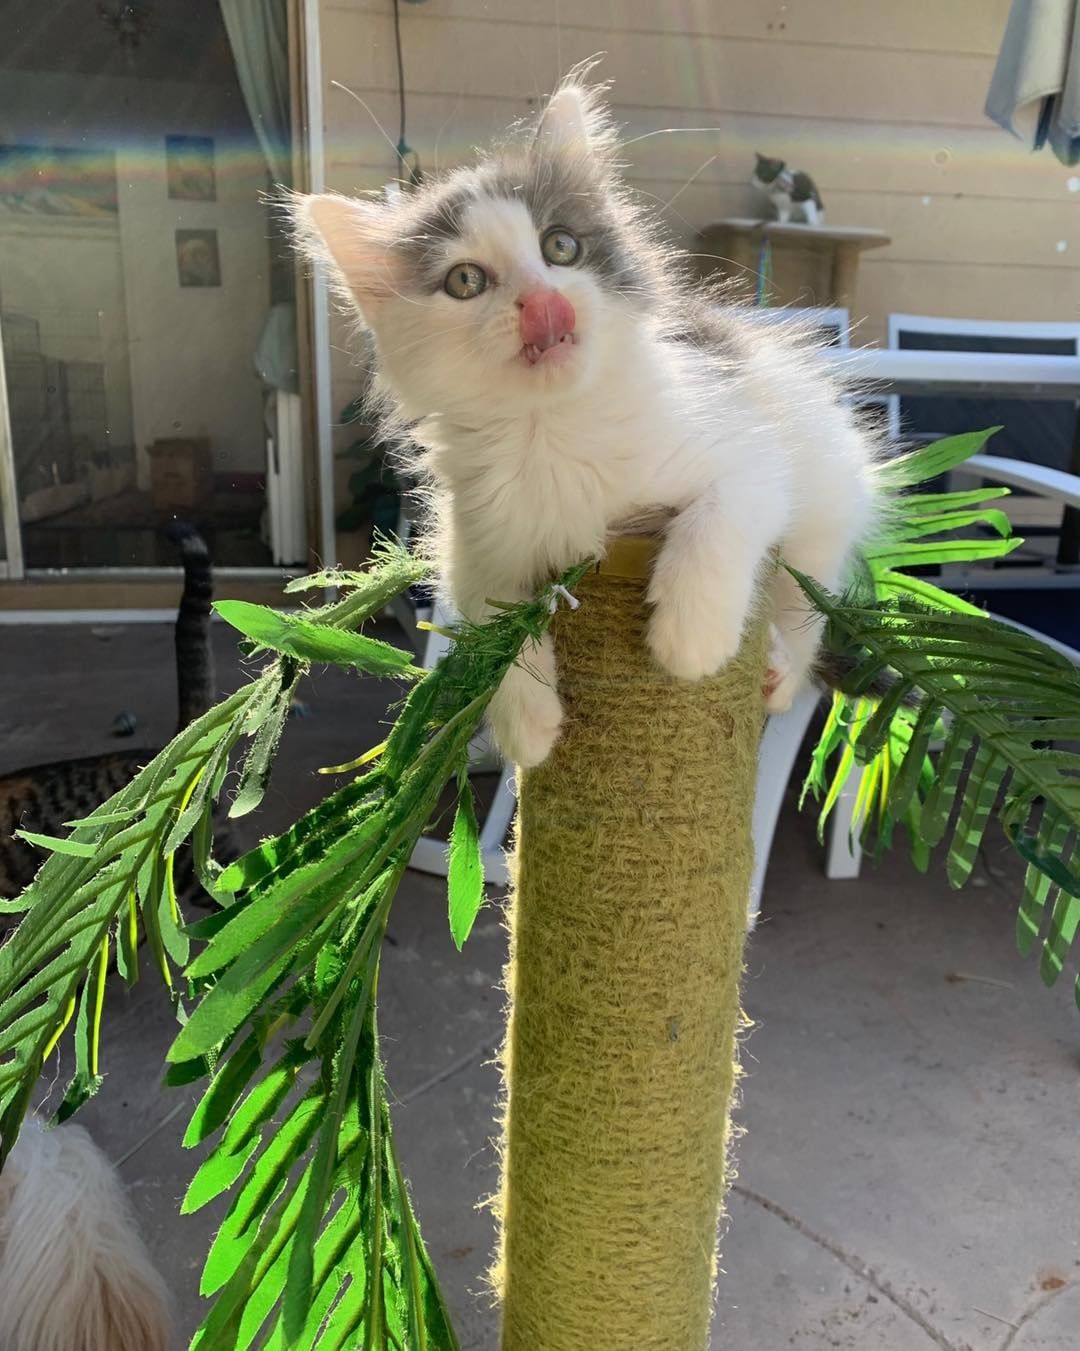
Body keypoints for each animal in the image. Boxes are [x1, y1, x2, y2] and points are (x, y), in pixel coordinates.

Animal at [289, 76, 875, 772]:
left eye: (560, 246)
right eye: (466, 280)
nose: (545, 302)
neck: (554, 425)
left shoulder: (747, 448)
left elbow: (720, 517)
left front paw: (690, 640)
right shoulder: (474, 540)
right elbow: (485, 611)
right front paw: (526, 723)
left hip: (826, 484)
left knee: (803, 601)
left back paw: (778, 667)